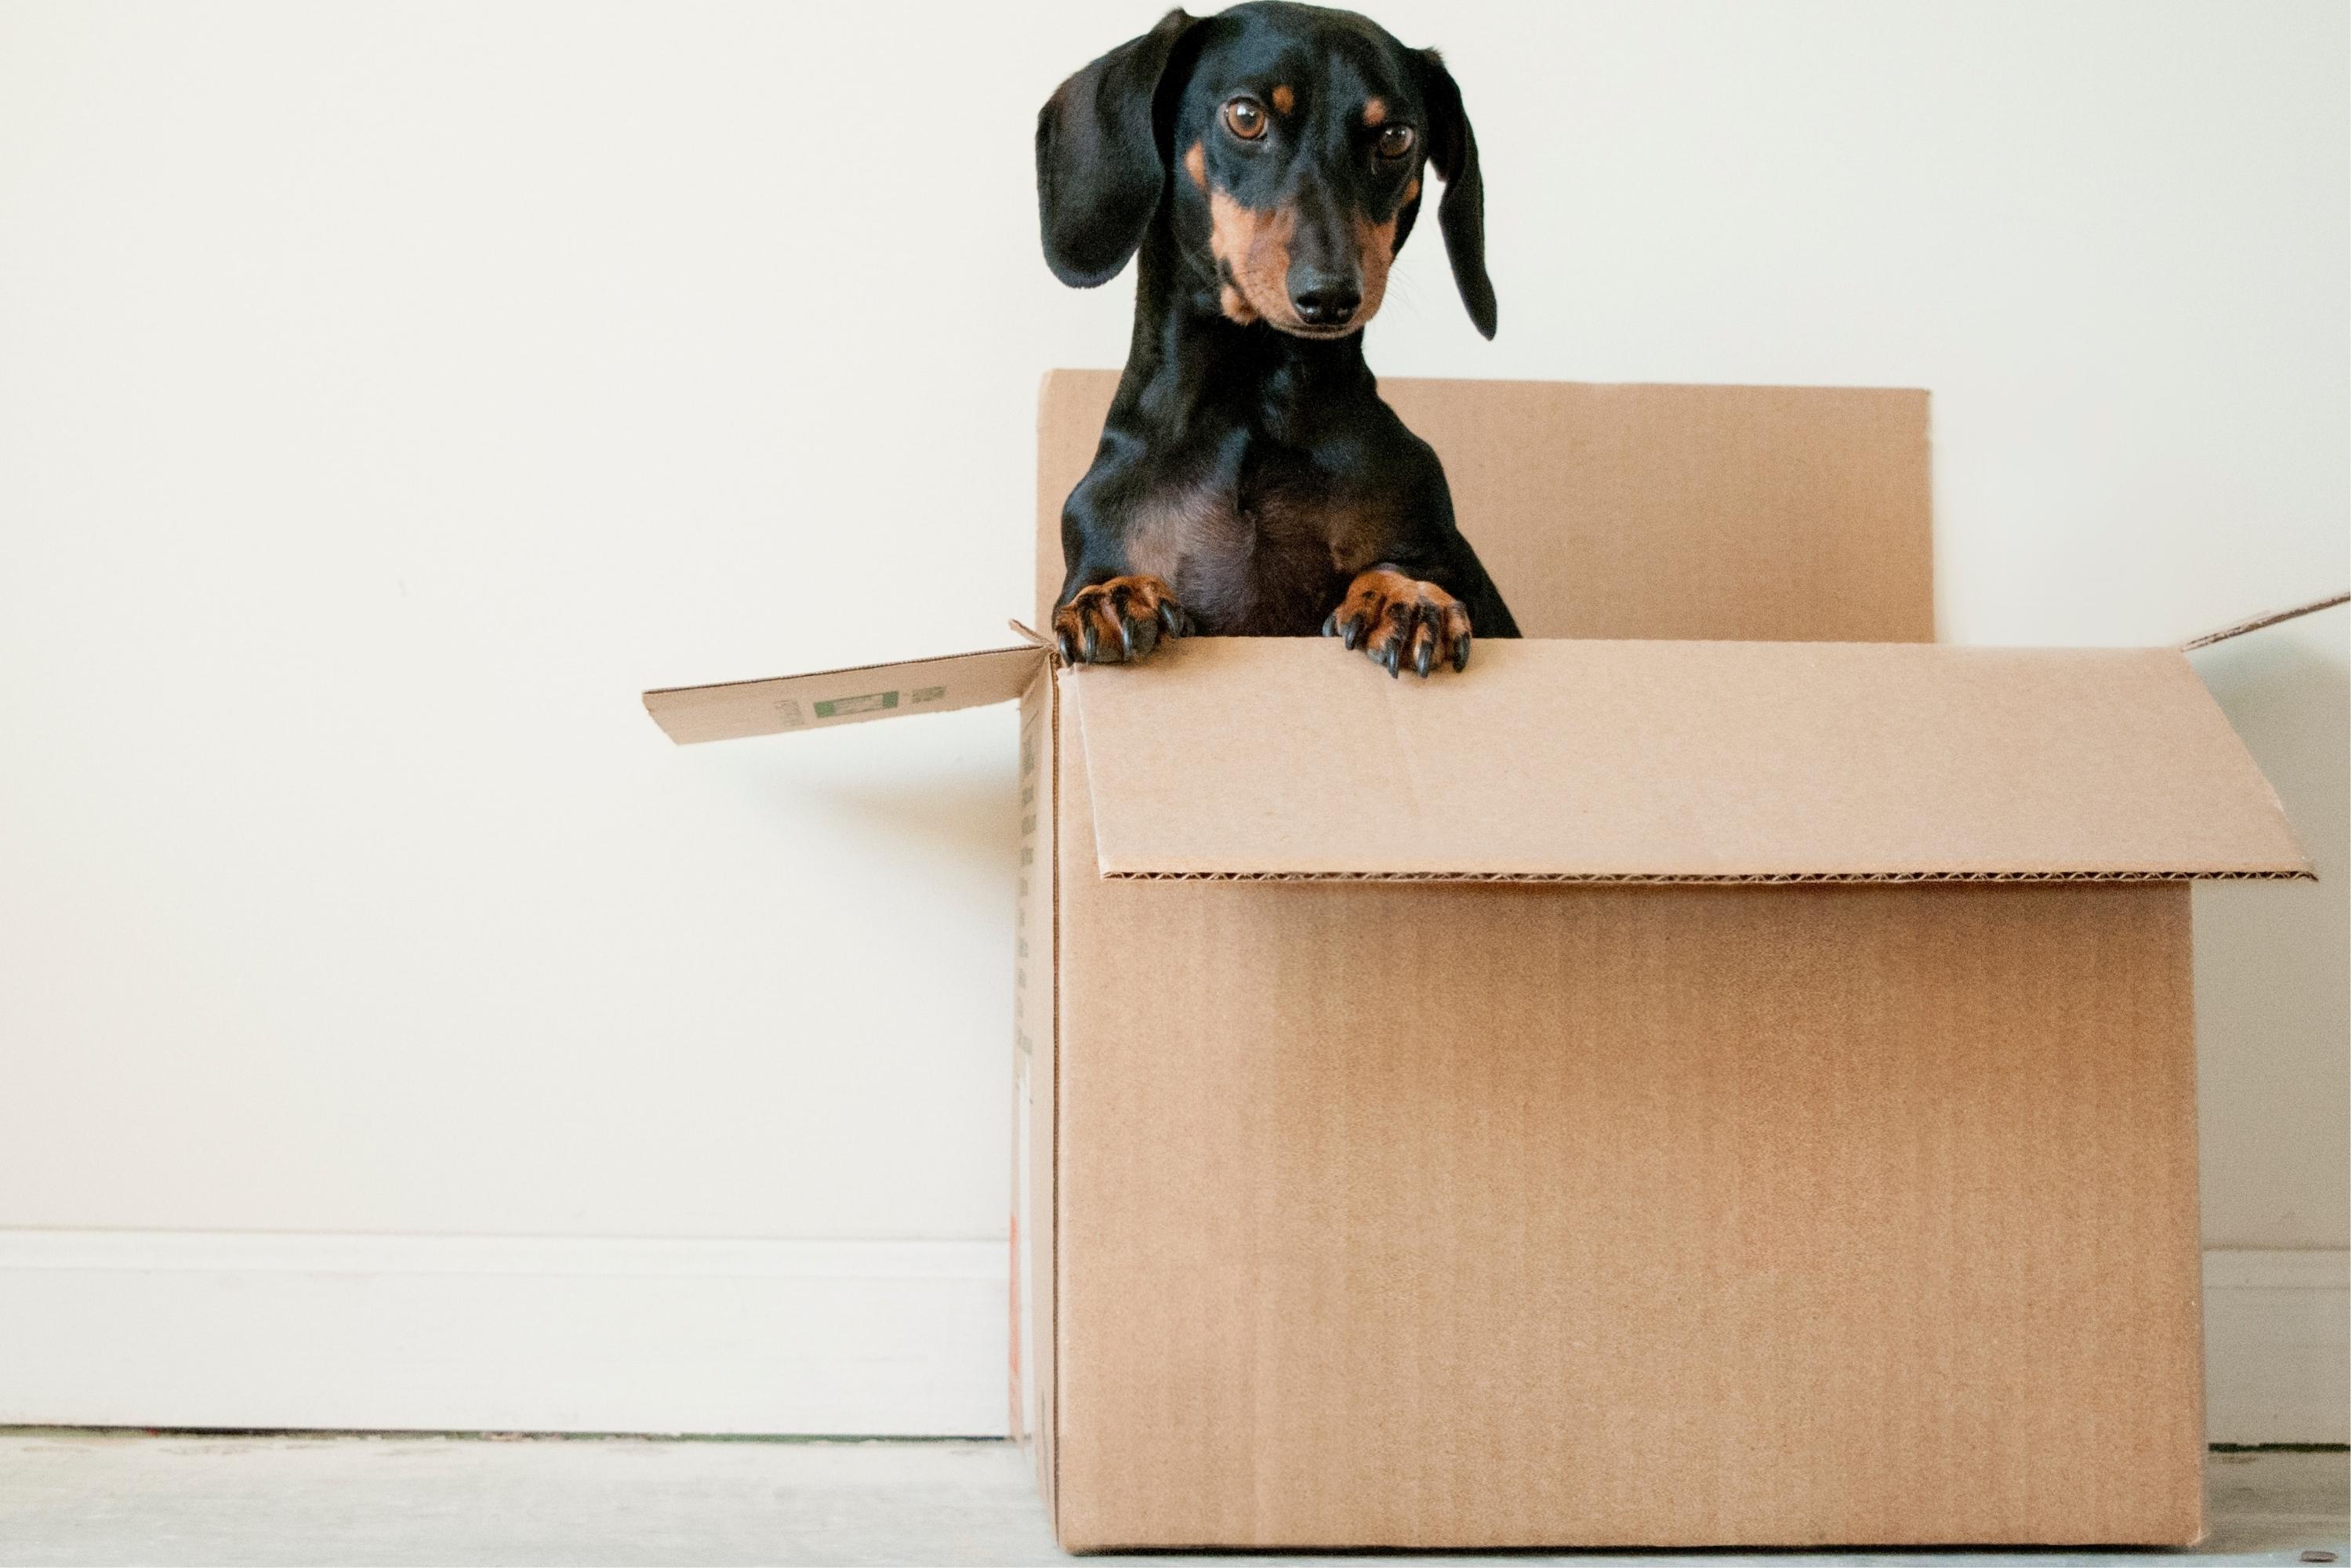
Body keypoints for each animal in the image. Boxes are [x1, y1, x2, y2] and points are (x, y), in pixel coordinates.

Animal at [1040, 4, 1515, 681]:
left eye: (1396, 138)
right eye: (1245, 116)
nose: (1330, 295)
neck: (1254, 404)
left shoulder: (1439, 545)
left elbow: (1408, 567)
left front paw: (1404, 597)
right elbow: (1100, 580)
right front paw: (1112, 595)